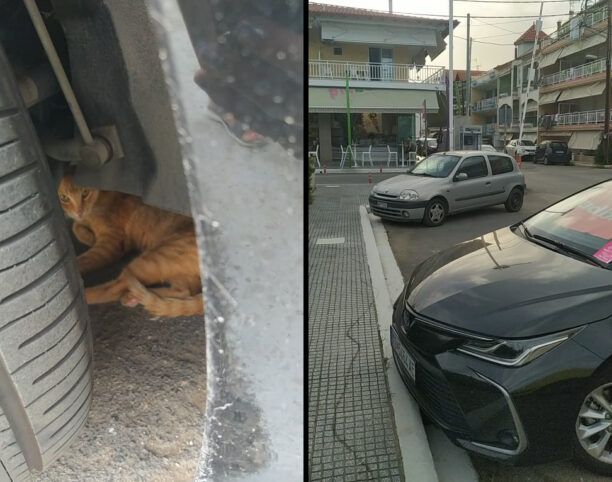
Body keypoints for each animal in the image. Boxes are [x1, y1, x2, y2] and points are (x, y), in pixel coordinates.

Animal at [58, 175, 204, 318]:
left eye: (85, 193)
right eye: (64, 198)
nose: (78, 212)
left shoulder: (110, 244)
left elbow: (83, 259)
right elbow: (76, 227)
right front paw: (89, 237)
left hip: (155, 257)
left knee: (115, 287)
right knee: (186, 291)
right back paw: (131, 297)